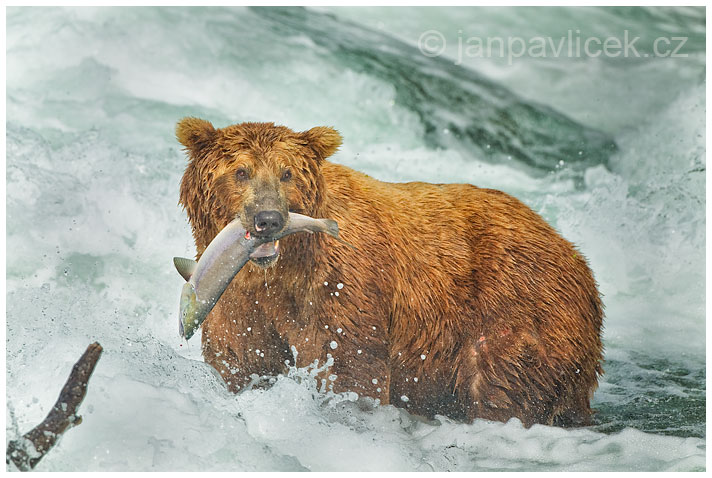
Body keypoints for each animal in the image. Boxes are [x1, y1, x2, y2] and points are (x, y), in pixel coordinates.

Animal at [175, 117, 604, 428]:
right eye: (241, 171)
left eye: (287, 173)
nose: (268, 219)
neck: (278, 272)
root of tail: (577, 256)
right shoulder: (238, 302)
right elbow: (242, 361)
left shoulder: (338, 286)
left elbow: (347, 364)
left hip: (517, 310)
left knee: (503, 388)